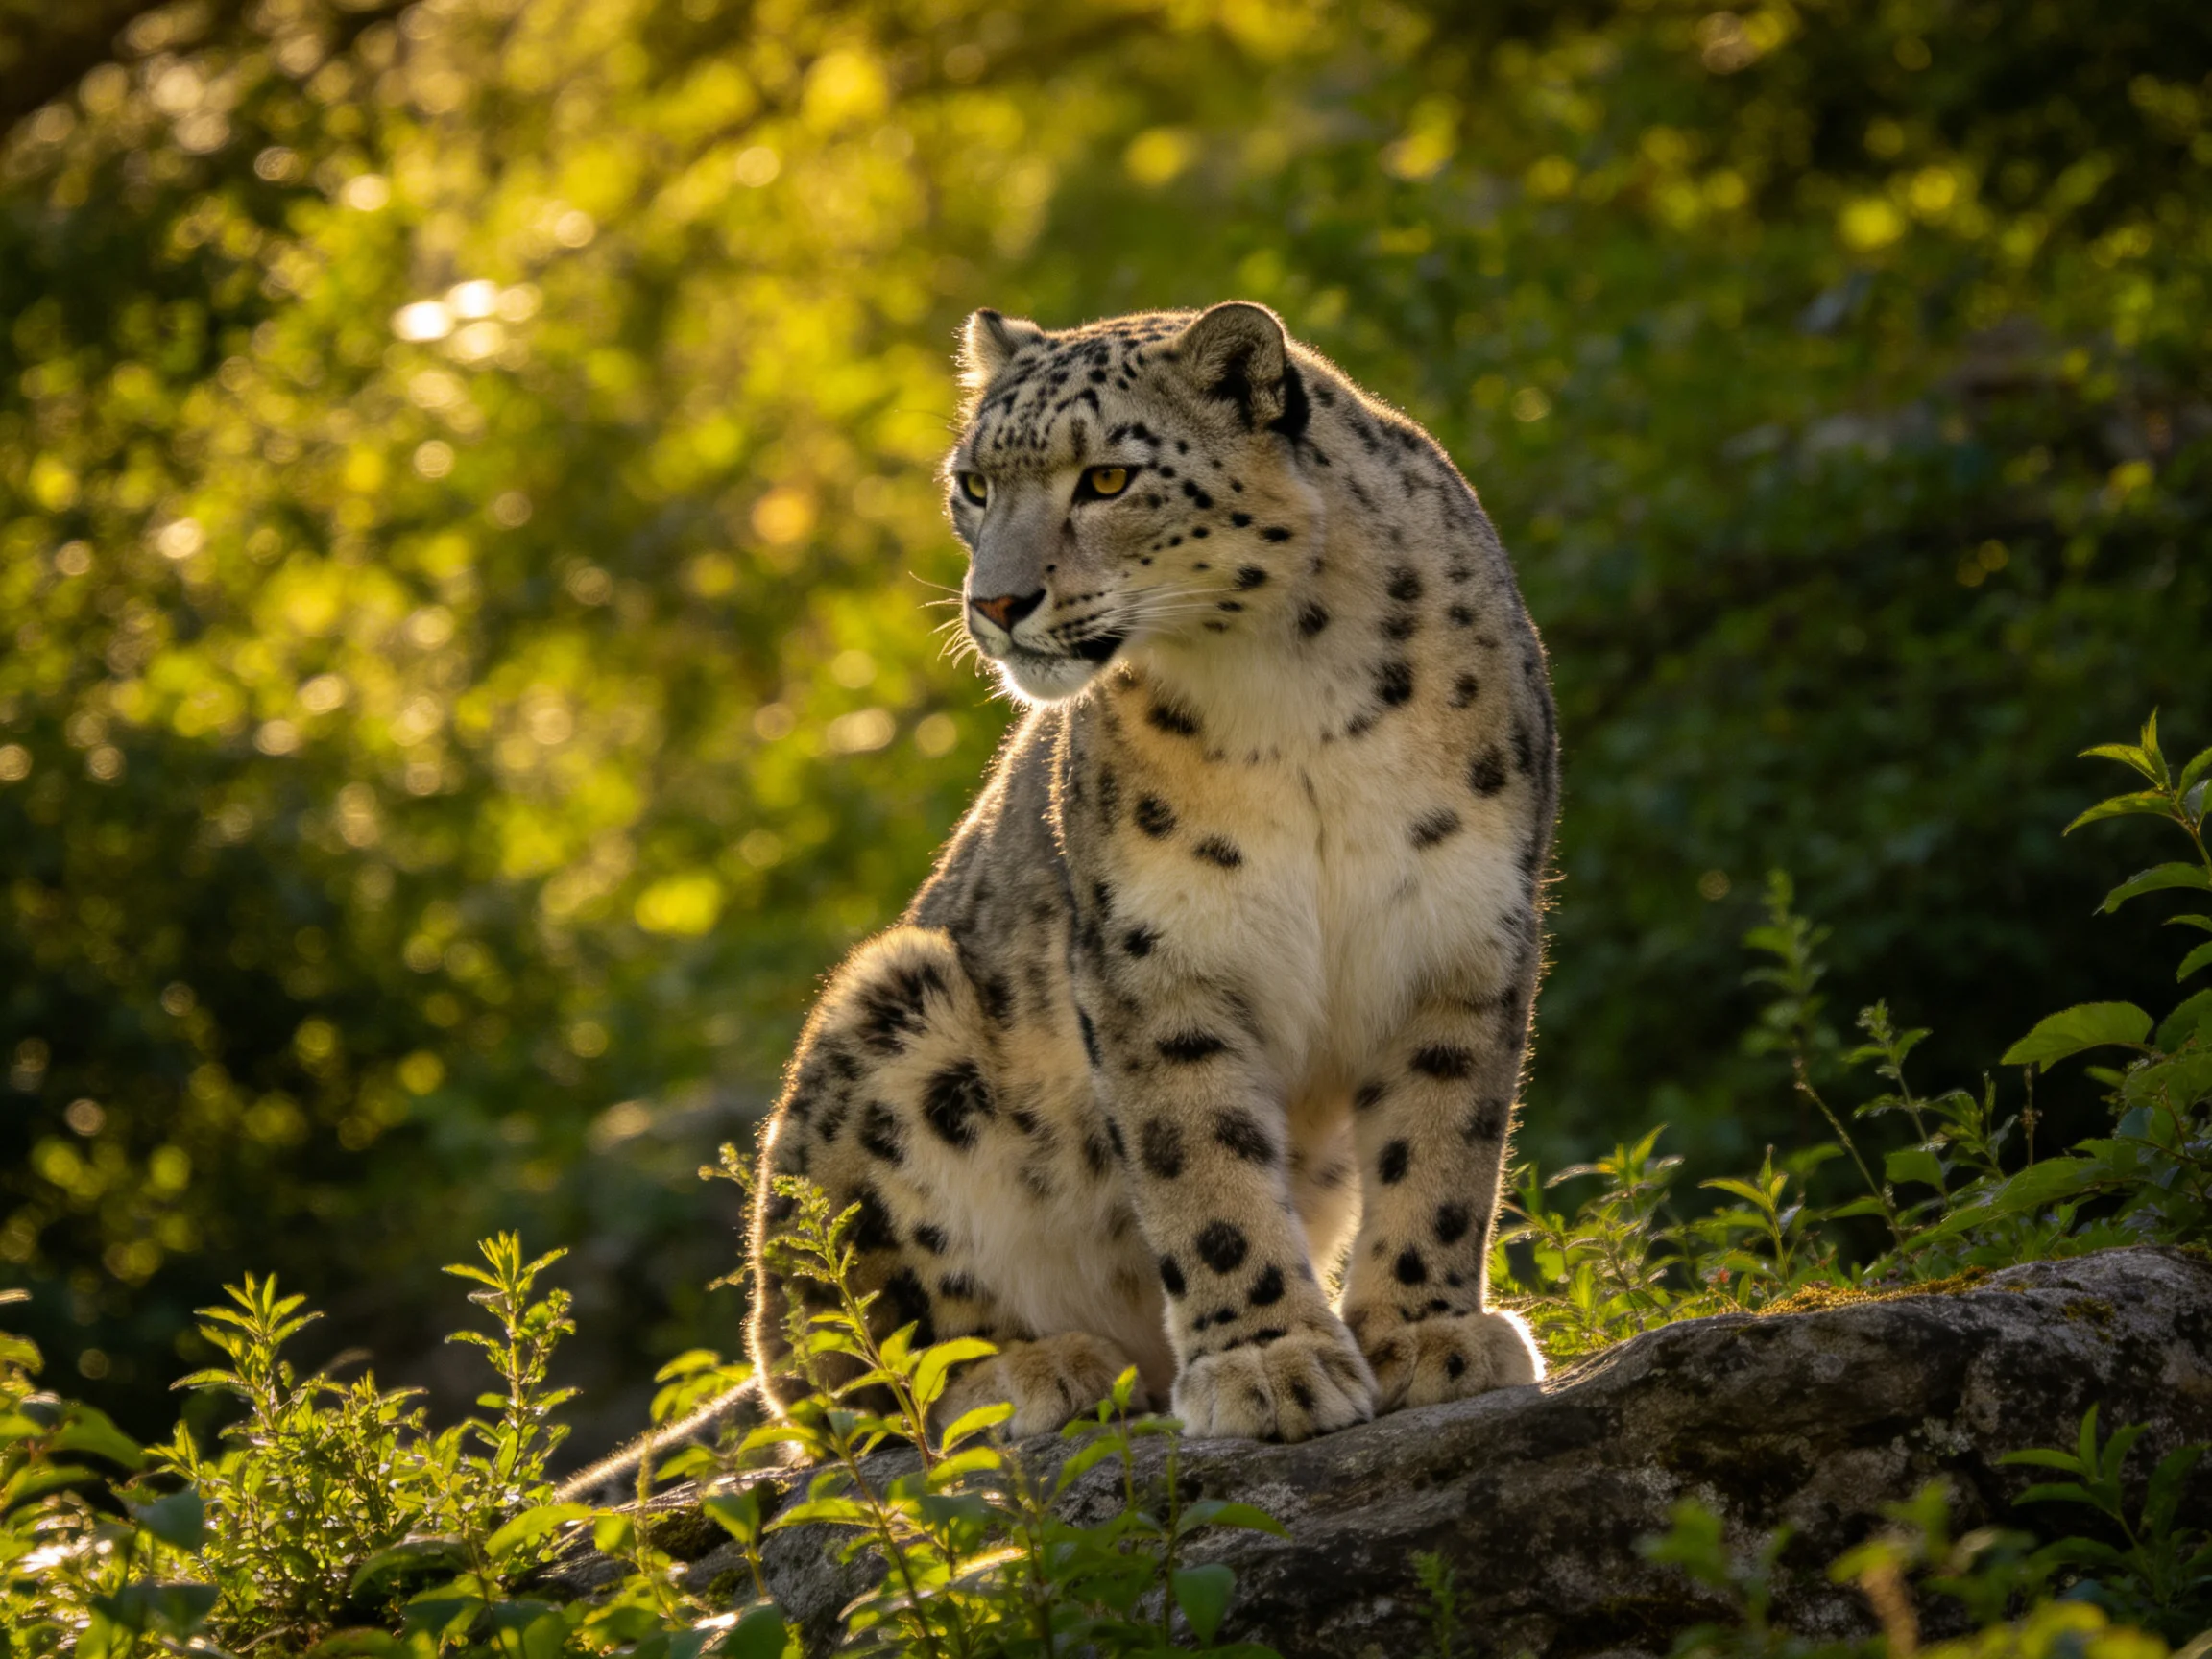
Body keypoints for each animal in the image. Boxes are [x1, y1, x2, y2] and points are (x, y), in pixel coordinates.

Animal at [746, 300, 1557, 1444]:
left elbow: (1443, 1147)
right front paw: (1269, 1364)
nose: (996, 602)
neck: (1295, 690)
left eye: (1108, 480)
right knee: (842, 1366)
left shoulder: (1462, 928)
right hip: (890, 1010)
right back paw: (1031, 1372)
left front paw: (1426, 1336)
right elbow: (1202, 1166)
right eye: (975, 485)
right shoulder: (1155, 950)